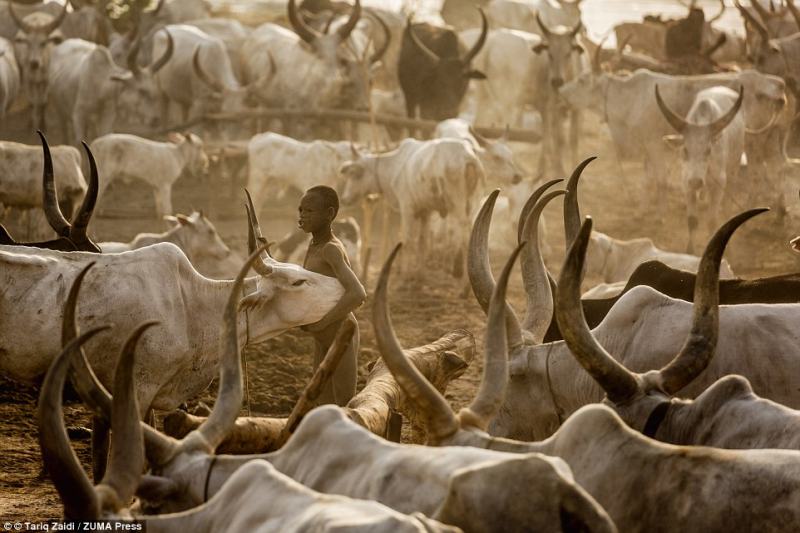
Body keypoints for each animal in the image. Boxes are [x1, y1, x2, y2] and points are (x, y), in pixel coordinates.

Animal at [10, 1, 67, 130]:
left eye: (44, 43)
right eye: (27, 42)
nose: (34, 63)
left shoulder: (46, 81)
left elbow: (43, 102)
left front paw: (42, 124)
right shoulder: (27, 80)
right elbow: (32, 101)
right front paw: (31, 123)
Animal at [340, 137, 484, 278]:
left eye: (354, 173)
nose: (344, 198)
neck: (393, 165)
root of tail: (468, 156)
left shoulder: (406, 209)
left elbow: (407, 240)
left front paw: (406, 273)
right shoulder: (426, 212)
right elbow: (422, 242)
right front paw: (420, 273)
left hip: (457, 203)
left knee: (464, 233)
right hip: (474, 203)